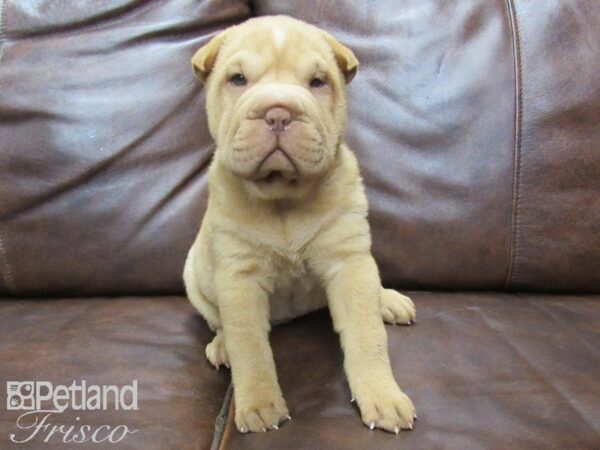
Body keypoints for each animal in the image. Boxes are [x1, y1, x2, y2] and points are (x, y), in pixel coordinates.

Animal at [184, 15, 418, 434]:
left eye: (318, 82)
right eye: (238, 79)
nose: (278, 113)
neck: (284, 199)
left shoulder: (349, 263)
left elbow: (367, 336)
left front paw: (382, 396)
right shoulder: (239, 279)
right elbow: (250, 348)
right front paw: (259, 405)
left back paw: (387, 300)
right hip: (194, 275)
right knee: (219, 322)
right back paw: (222, 345)